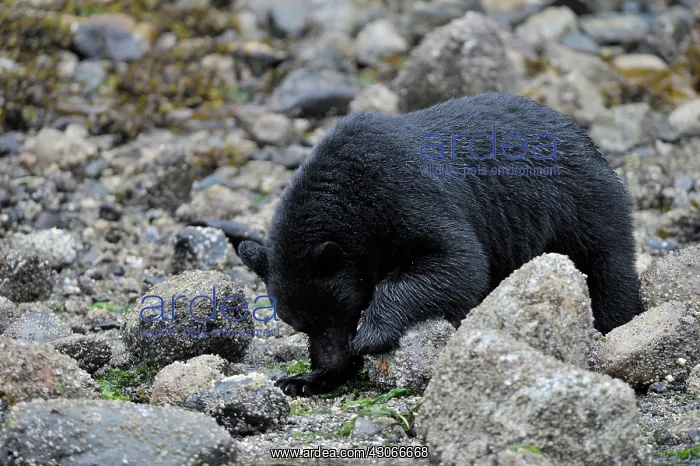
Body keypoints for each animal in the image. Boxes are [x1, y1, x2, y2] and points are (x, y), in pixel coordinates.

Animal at [209, 93, 643, 397]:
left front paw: (371, 333)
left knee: (607, 267)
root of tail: (586, 140)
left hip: (580, 204)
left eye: (337, 313)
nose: (334, 360)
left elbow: (456, 261)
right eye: (298, 324)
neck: (350, 193)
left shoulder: (407, 193)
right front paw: (304, 379)